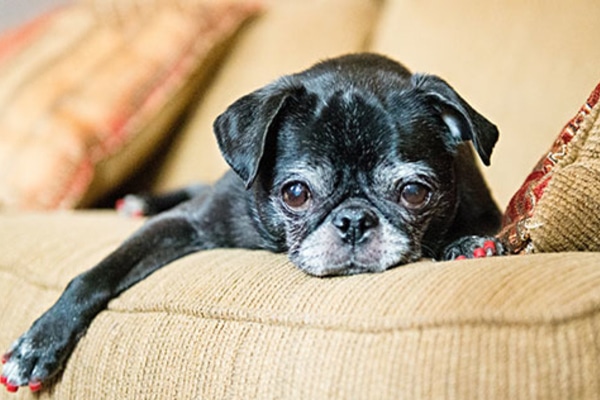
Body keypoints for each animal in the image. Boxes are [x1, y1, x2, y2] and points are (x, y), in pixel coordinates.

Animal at [2, 51, 504, 392]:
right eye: (296, 193)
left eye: (414, 193)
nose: (354, 221)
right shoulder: (183, 224)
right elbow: (95, 275)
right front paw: (38, 343)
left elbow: (477, 231)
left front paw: (465, 244)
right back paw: (141, 201)